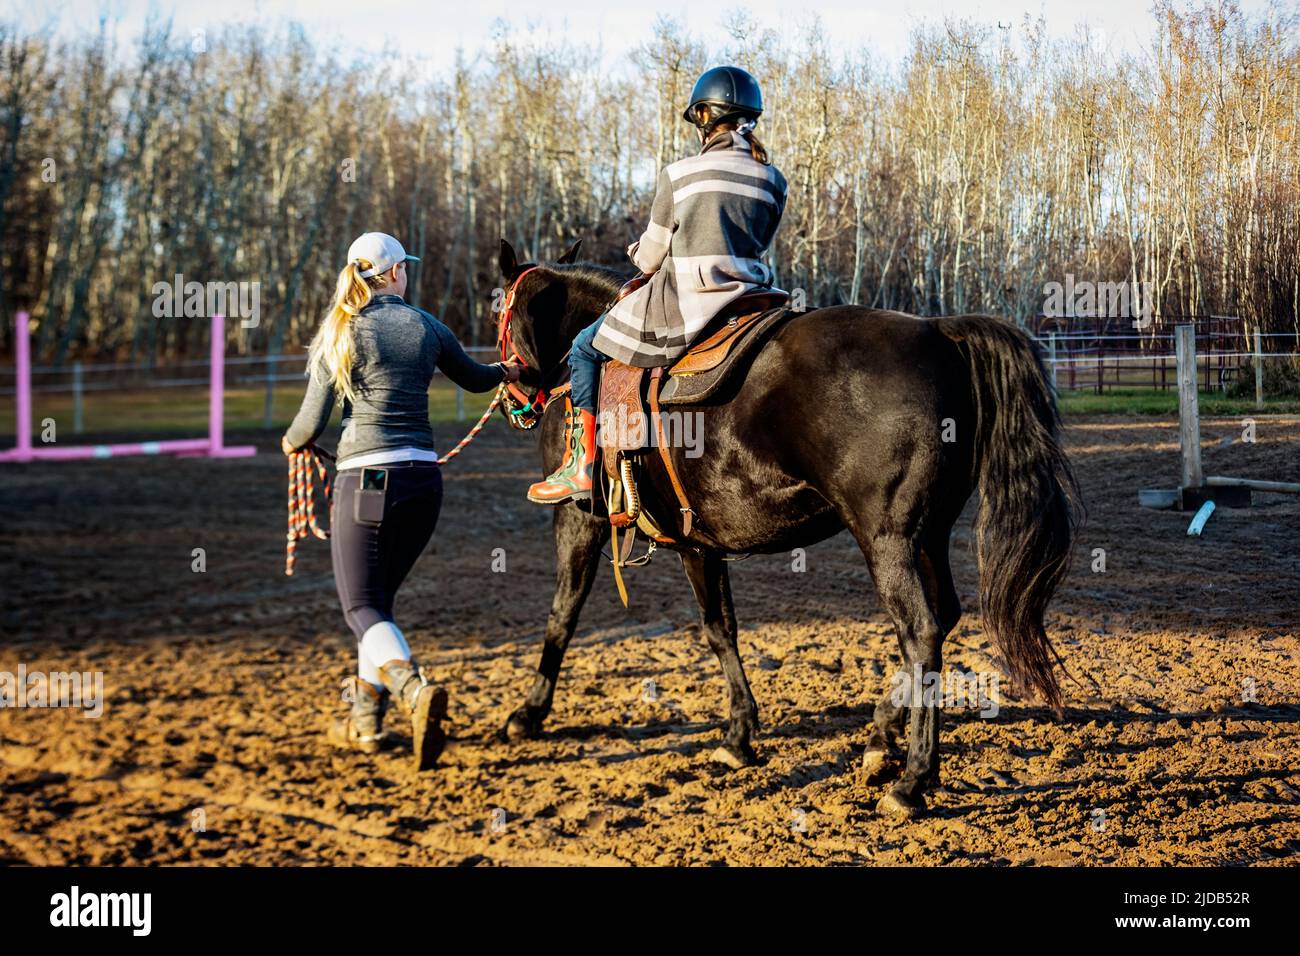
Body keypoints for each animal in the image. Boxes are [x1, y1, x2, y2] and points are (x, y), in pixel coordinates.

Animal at [491, 239, 1081, 816]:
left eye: (502, 311)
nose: (510, 398)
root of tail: (940, 331)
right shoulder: (702, 545)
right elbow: (724, 629)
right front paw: (740, 733)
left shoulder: (583, 521)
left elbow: (566, 615)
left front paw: (529, 713)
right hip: (928, 536)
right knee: (944, 616)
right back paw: (880, 736)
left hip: (887, 542)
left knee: (921, 634)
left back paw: (913, 780)